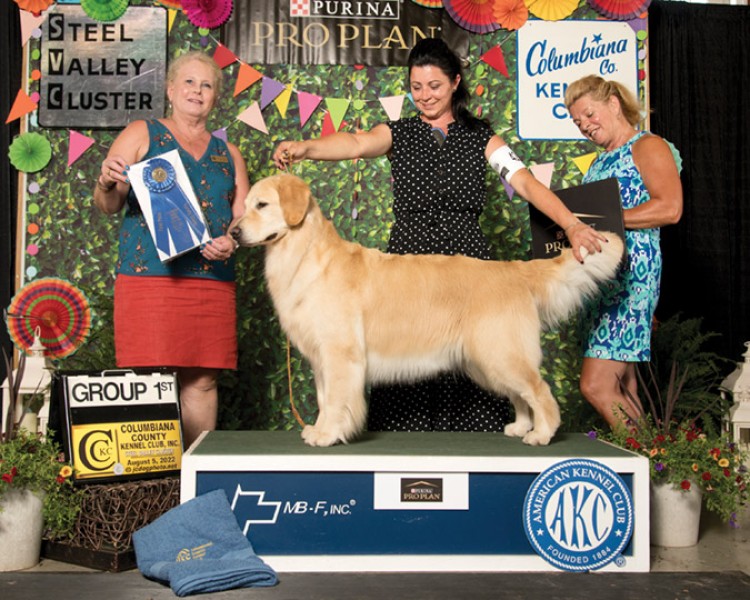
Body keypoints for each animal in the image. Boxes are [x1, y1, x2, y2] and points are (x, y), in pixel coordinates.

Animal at [232, 173, 624, 447]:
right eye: (245, 204)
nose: (233, 232)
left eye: (262, 205)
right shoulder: (321, 360)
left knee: (540, 392)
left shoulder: (340, 354)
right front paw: (319, 428)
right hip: (486, 360)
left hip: (500, 352)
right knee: (521, 395)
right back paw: (520, 427)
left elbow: (337, 400)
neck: (304, 254)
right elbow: (325, 398)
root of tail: (512, 269)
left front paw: (327, 434)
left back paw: (542, 434)